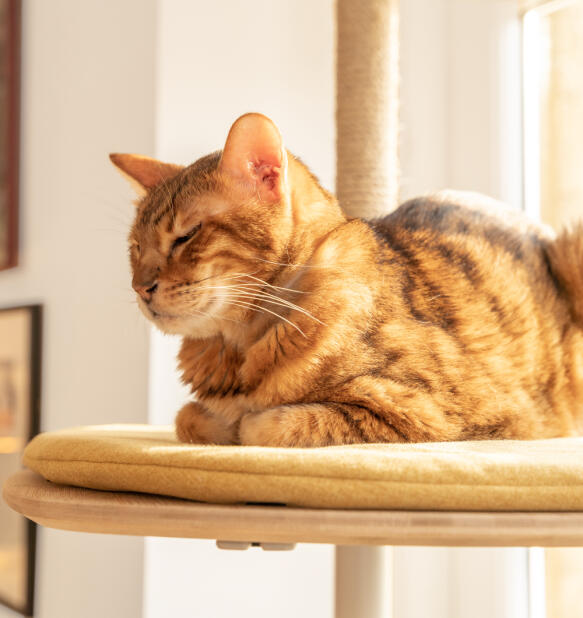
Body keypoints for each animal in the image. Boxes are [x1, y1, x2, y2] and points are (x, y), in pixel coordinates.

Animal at [109, 112, 583, 442]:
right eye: (135, 248)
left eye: (186, 235)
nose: (140, 287)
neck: (239, 352)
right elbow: (188, 417)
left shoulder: (427, 412)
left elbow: (272, 425)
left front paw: (244, 420)